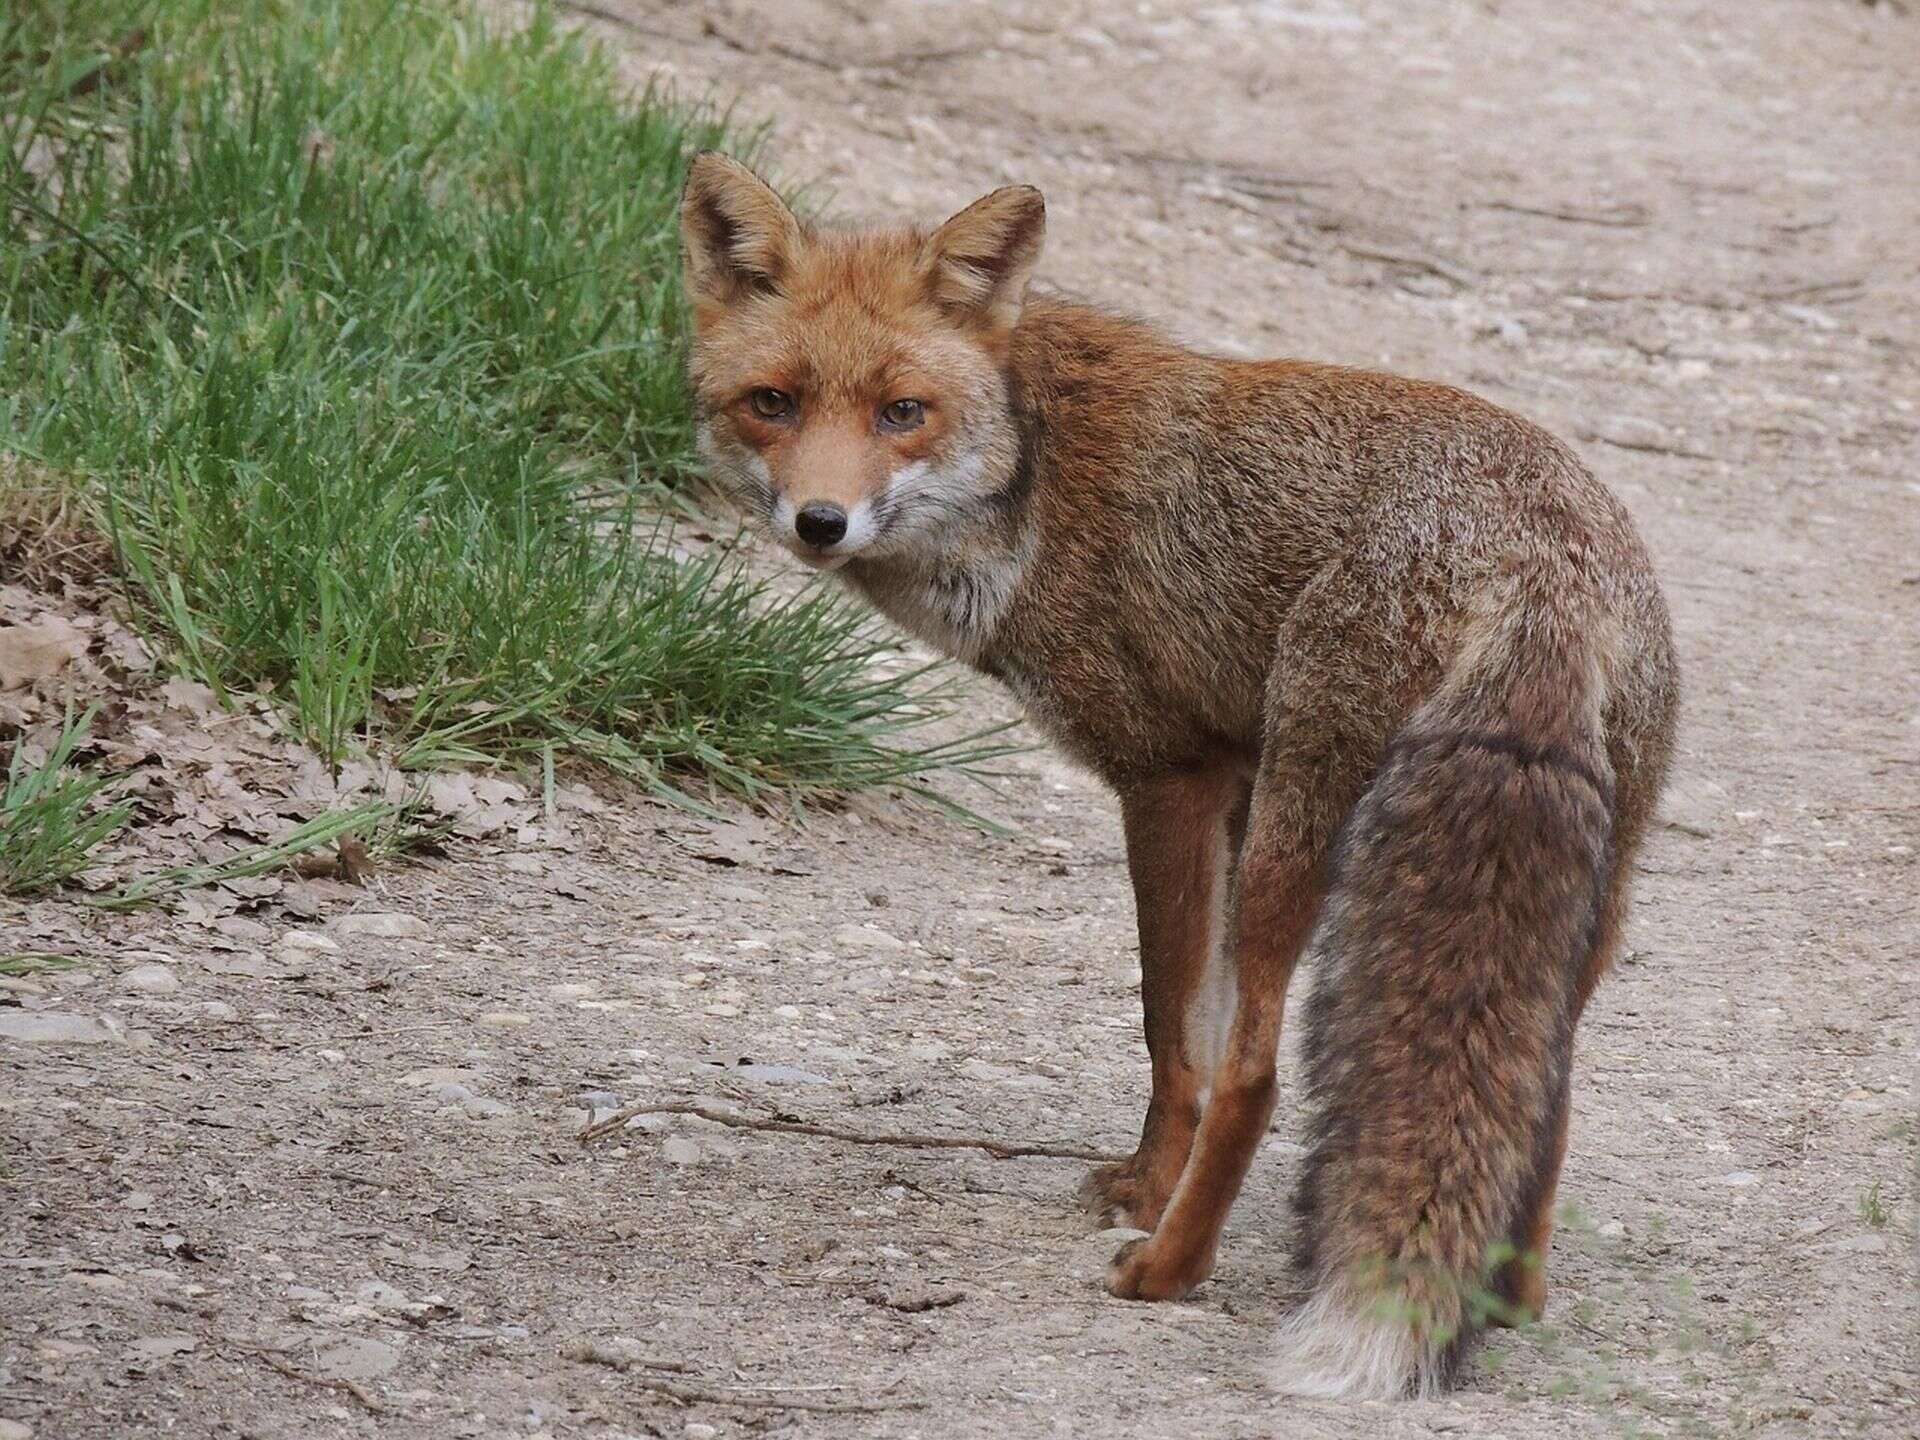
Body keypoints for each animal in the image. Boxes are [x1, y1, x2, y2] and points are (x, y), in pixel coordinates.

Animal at [679, 152, 1681, 1405]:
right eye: (773, 402)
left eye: (901, 412)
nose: (822, 522)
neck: (1035, 473)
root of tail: (1542, 566)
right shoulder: (1232, 781)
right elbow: (1189, 1038)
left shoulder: (1171, 776)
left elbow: (1177, 1042)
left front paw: (1148, 1195)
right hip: (1584, 887)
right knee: (1544, 1092)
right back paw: (1502, 1301)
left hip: (1302, 840)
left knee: (1259, 1072)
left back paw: (1167, 1269)